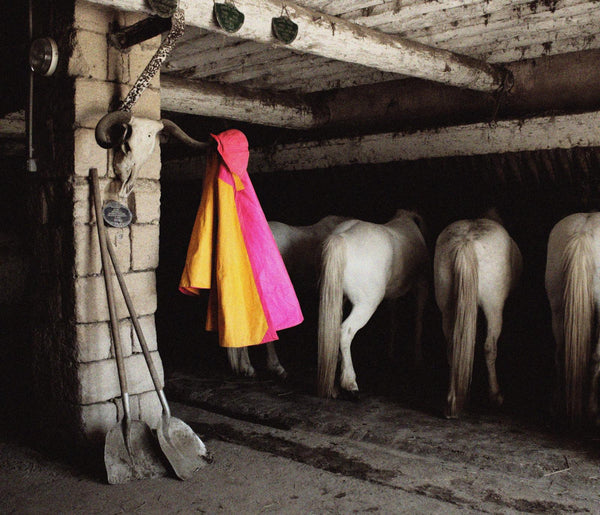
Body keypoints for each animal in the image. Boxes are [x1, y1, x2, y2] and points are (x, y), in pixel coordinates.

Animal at [316, 209, 428, 400]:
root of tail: (342, 238)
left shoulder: (393, 295)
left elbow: (393, 321)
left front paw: (391, 353)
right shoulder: (421, 285)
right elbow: (419, 322)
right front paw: (418, 358)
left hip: (337, 298)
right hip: (365, 305)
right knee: (345, 332)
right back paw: (350, 383)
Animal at [434, 214, 524, 420]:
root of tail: (466, 242)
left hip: (447, 309)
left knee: (453, 346)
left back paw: (452, 401)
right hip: (493, 307)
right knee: (490, 346)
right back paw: (495, 395)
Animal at [544, 212, 600, 426]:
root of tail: (583, 232)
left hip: (557, 308)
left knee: (560, 355)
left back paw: (558, 408)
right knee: (595, 359)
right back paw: (593, 413)